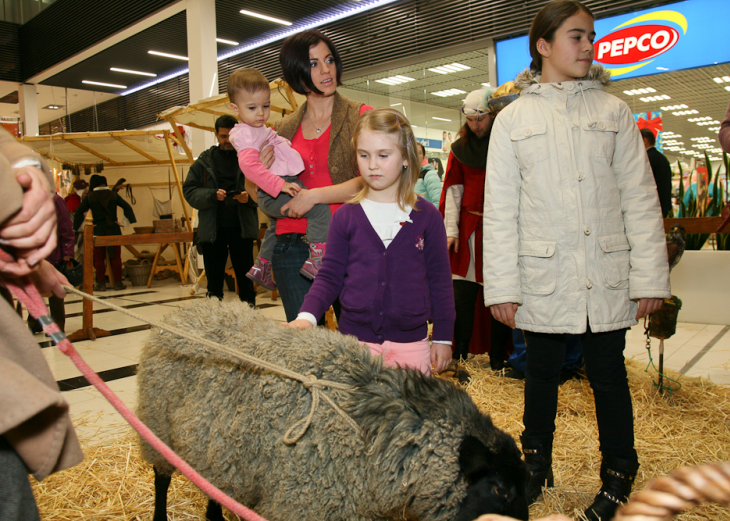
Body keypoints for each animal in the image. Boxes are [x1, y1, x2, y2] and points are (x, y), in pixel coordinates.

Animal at [135, 298, 524, 520]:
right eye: (500, 490)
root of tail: (191, 311)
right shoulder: (306, 501)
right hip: (157, 427)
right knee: (161, 478)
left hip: (212, 450)